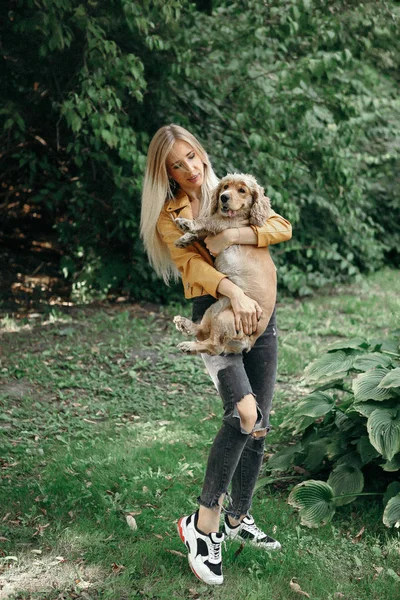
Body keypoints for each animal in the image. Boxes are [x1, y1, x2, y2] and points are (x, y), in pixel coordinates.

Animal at [172, 171, 278, 354]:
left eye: (242, 190)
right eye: (225, 187)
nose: (223, 197)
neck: (241, 216)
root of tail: (249, 342)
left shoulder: (228, 223)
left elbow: (207, 221)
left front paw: (187, 224)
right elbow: (202, 232)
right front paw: (184, 239)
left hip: (226, 317)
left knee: (214, 345)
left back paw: (188, 345)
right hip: (214, 310)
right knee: (203, 331)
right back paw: (185, 325)